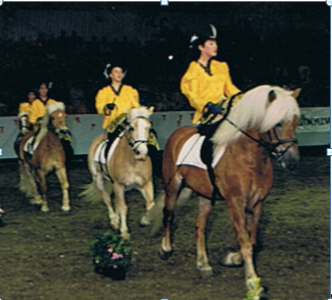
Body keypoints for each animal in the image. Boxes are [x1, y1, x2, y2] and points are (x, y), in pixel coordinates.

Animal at [82, 105, 156, 239]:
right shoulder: (119, 186)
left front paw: (145, 220)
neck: (132, 161)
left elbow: (150, 204)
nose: (142, 152)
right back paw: (115, 221)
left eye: (148, 127)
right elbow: (123, 208)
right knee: (107, 198)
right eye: (131, 128)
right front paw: (124, 231)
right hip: (99, 180)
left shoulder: (146, 184)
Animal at [147, 85, 302, 296]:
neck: (249, 157)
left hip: (206, 195)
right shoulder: (235, 202)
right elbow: (245, 241)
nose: (292, 162)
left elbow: (253, 241)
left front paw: (232, 259)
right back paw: (166, 249)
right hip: (173, 186)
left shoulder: (257, 202)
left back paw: (203, 264)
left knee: (200, 226)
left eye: (295, 121)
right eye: (277, 123)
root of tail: (178, 133)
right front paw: (252, 281)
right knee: (168, 215)